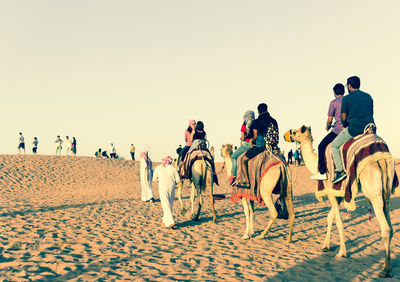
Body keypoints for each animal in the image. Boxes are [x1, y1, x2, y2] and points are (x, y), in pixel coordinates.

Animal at [288, 125, 396, 278]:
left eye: (296, 132)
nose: (288, 134)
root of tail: (381, 157)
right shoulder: (337, 193)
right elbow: (330, 217)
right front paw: (325, 246)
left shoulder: (331, 190)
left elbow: (338, 221)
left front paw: (342, 252)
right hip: (386, 189)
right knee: (390, 225)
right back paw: (389, 266)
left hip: (373, 192)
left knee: (385, 228)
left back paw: (385, 270)